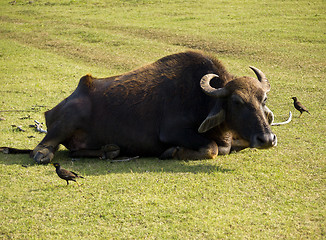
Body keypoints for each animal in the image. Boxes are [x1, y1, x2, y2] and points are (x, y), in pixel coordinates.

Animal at [28, 50, 288, 163]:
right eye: (237, 101)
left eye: (263, 99)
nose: (267, 139)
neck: (203, 100)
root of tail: (53, 110)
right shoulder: (173, 131)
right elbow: (213, 148)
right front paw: (173, 152)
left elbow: (230, 145)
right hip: (66, 122)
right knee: (41, 148)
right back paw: (44, 153)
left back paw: (109, 151)